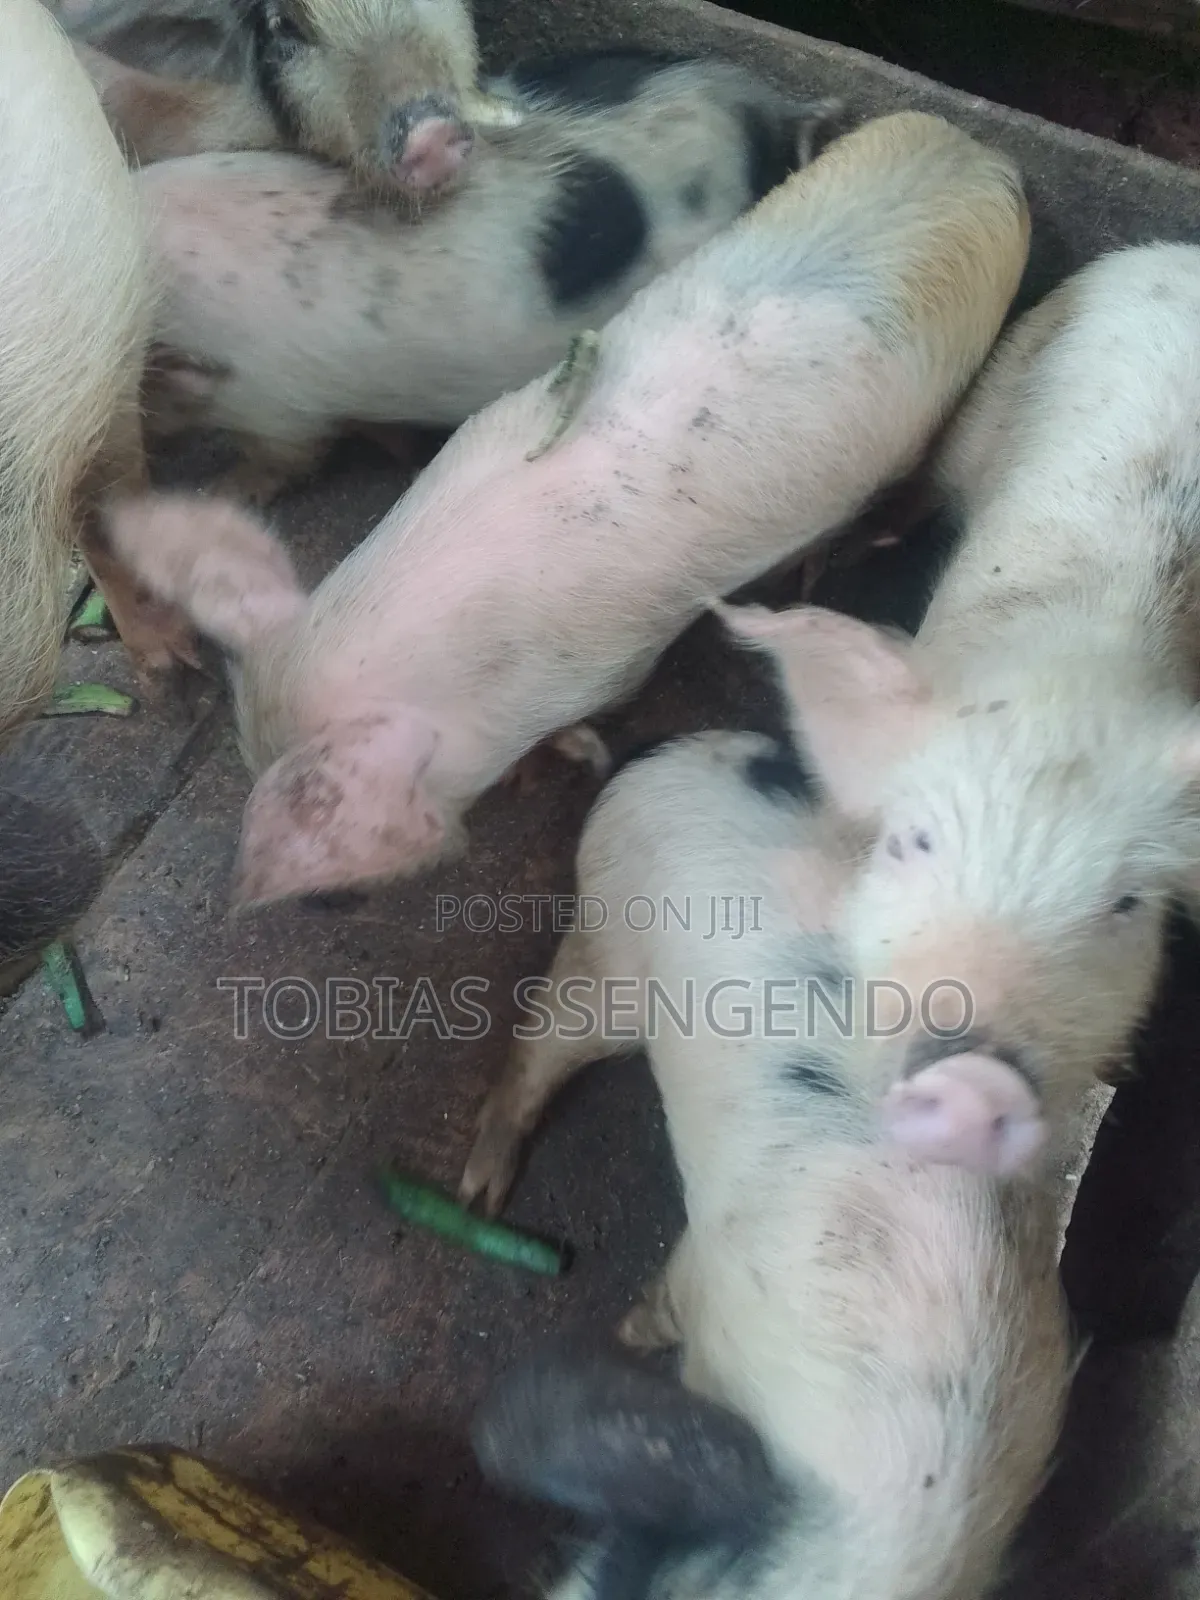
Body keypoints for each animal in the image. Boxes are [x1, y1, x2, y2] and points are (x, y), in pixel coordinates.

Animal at [464, 728, 1072, 1600]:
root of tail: (680, 751)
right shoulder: (717, 1274)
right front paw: (629, 1329)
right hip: (610, 947)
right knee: (542, 1041)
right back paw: (480, 1192)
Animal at [716, 241, 1200, 1179]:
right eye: (913, 843)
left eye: (1127, 905)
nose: (977, 1083)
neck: (1081, 658)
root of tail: (1179, 257)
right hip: (1002, 379)